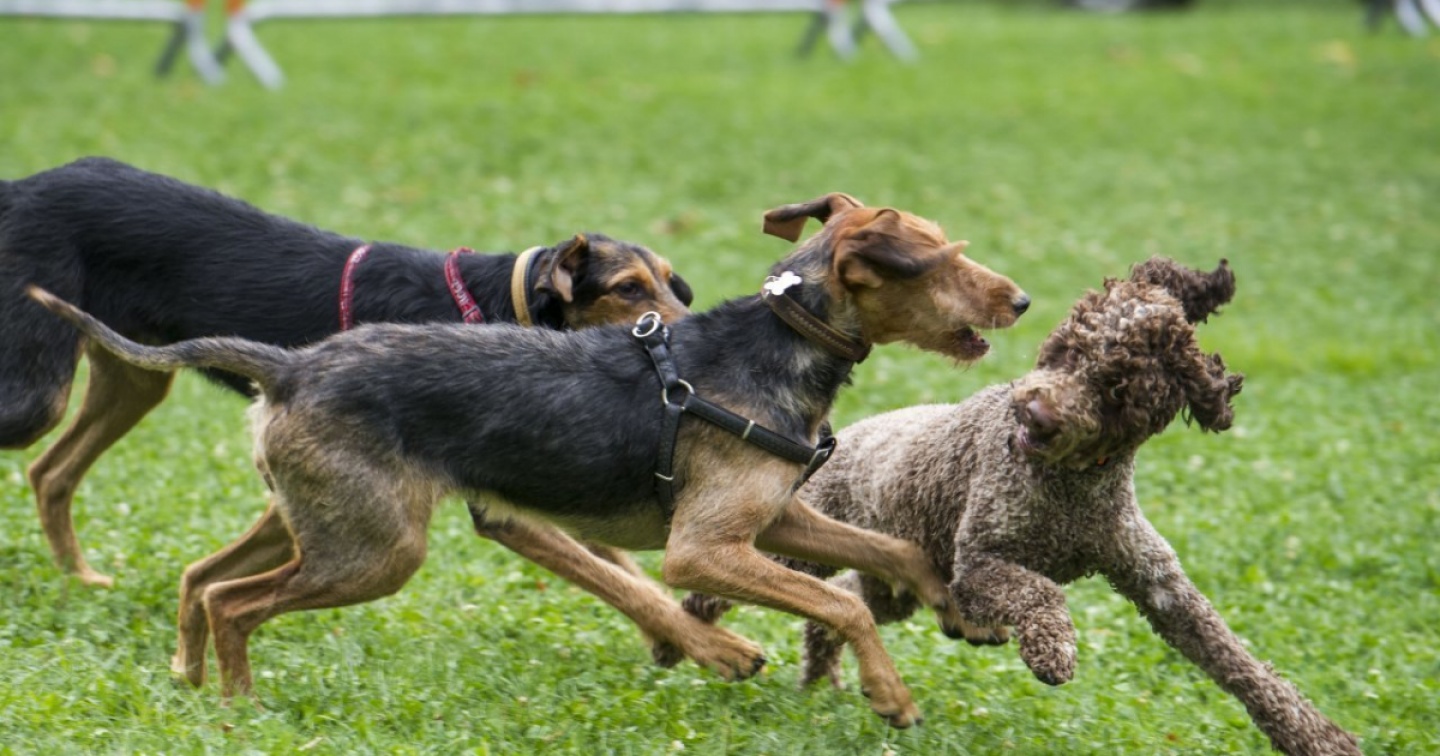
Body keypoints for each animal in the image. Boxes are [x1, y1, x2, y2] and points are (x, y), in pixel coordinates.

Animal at [0, 156, 692, 587]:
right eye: (628, 288)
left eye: (669, 280)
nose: (690, 325)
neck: (488, 301)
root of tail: (18, 187)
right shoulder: (499, 497)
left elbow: (622, 562)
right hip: (39, 393)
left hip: (134, 376)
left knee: (50, 472)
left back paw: (82, 578)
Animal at [29, 192, 1030, 728]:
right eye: (941, 260)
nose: (1021, 298)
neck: (780, 341)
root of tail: (292, 365)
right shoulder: (702, 551)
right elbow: (838, 602)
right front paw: (890, 696)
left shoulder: (776, 517)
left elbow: (892, 551)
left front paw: (957, 610)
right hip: (378, 549)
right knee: (234, 602)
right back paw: (242, 709)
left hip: (326, 523)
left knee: (206, 585)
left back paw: (196, 689)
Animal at [685, 258, 1358, 753]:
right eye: (1065, 349)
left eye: (1116, 388)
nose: (1034, 410)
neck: (1072, 485)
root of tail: (836, 438)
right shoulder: (980, 564)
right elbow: (1042, 593)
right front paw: (1053, 648)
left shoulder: (1157, 584)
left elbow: (1236, 661)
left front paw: (1314, 735)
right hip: (801, 548)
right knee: (730, 582)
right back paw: (694, 633)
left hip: (890, 585)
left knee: (843, 603)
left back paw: (824, 679)